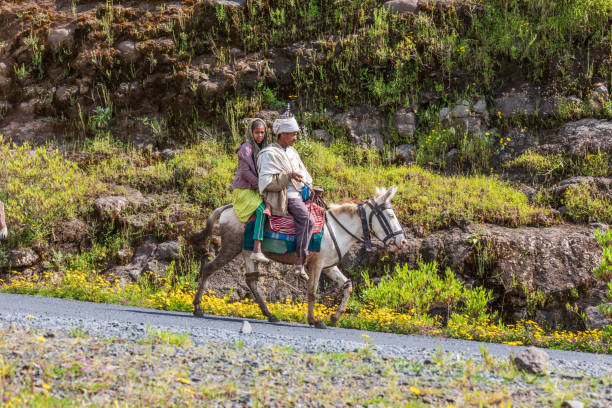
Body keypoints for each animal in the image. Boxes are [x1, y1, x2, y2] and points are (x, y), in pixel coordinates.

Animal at [194, 186, 406, 326]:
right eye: (390, 216)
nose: (402, 241)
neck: (337, 228)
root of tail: (229, 207)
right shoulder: (317, 265)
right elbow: (312, 291)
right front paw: (314, 320)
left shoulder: (329, 266)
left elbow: (348, 285)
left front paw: (334, 317)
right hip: (230, 248)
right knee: (209, 268)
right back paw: (197, 308)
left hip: (247, 252)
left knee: (251, 281)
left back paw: (270, 315)